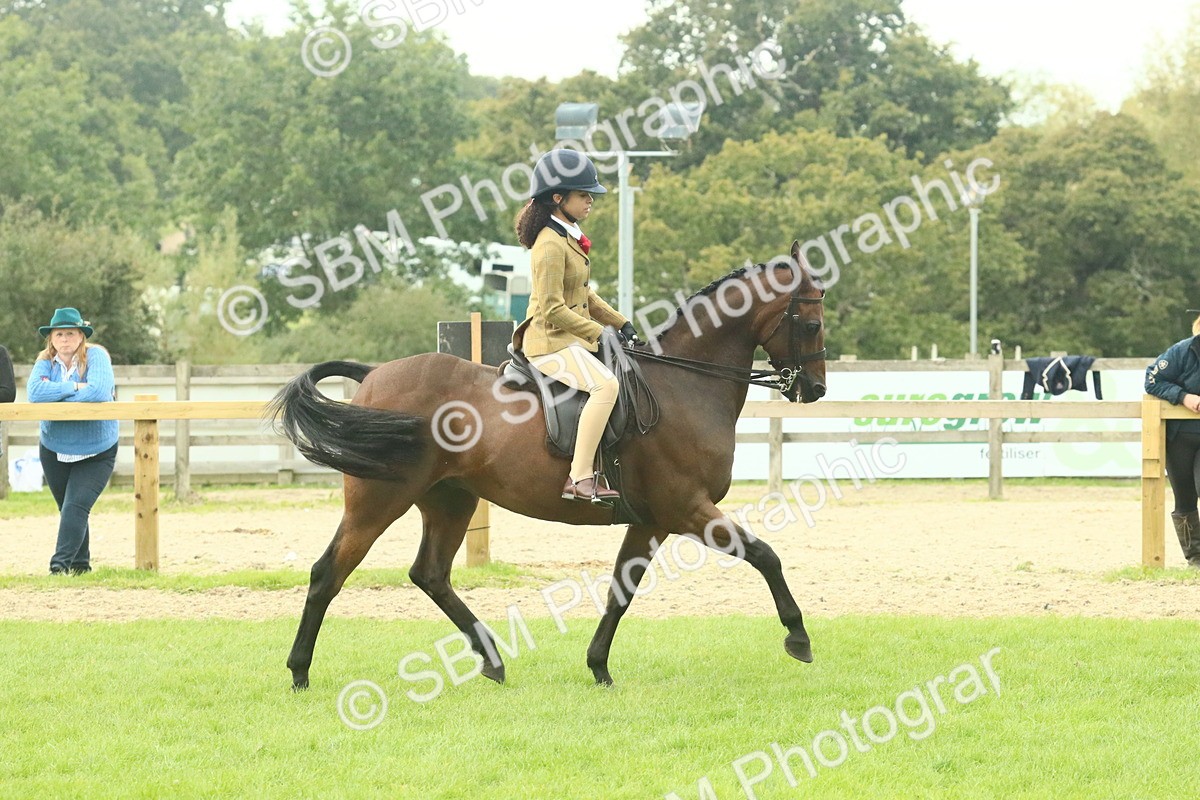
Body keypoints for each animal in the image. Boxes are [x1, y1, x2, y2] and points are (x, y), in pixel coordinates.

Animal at [270, 240, 828, 690]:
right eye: (812, 322)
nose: (815, 389)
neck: (684, 385)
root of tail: (373, 375)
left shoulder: (651, 520)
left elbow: (621, 591)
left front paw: (599, 666)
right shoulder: (687, 508)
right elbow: (766, 556)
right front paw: (798, 637)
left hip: (450, 499)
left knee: (430, 574)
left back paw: (492, 661)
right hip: (379, 499)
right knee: (329, 572)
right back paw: (299, 672)